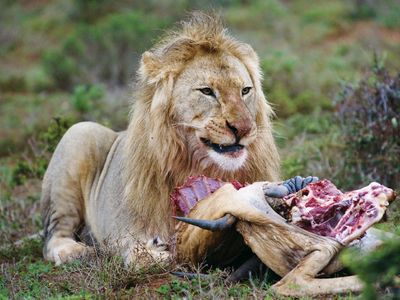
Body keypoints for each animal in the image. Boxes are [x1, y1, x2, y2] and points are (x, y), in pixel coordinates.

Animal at [39, 12, 278, 264]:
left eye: (245, 91)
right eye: (206, 91)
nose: (244, 128)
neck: (202, 167)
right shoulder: (125, 230)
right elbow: (139, 254)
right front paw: (155, 251)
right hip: (79, 133)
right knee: (53, 236)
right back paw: (75, 251)